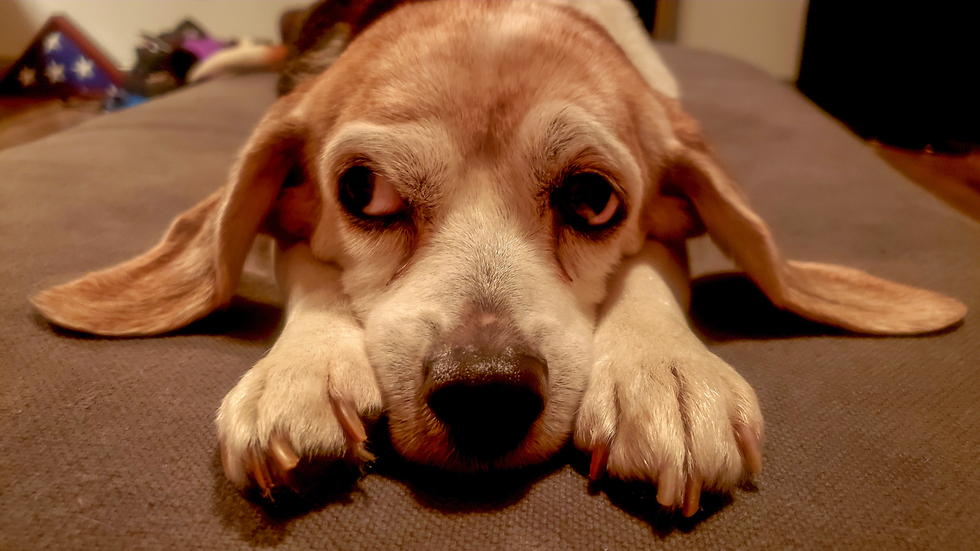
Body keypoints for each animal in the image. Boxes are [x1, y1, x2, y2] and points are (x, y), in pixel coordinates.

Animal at [32, 0, 966, 518]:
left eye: (593, 199)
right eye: (363, 190)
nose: (484, 393)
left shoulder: (662, 224)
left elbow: (647, 271)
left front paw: (668, 377)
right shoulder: (292, 233)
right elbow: (315, 277)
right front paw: (299, 376)